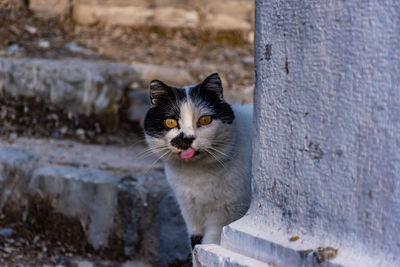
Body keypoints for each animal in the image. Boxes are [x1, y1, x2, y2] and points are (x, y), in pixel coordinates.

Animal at [142, 73, 252, 249]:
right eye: (170, 122)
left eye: (205, 120)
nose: (187, 138)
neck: (194, 176)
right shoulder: (190, 213)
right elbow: (195, 245)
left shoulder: (224, 218)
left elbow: (208, 245)